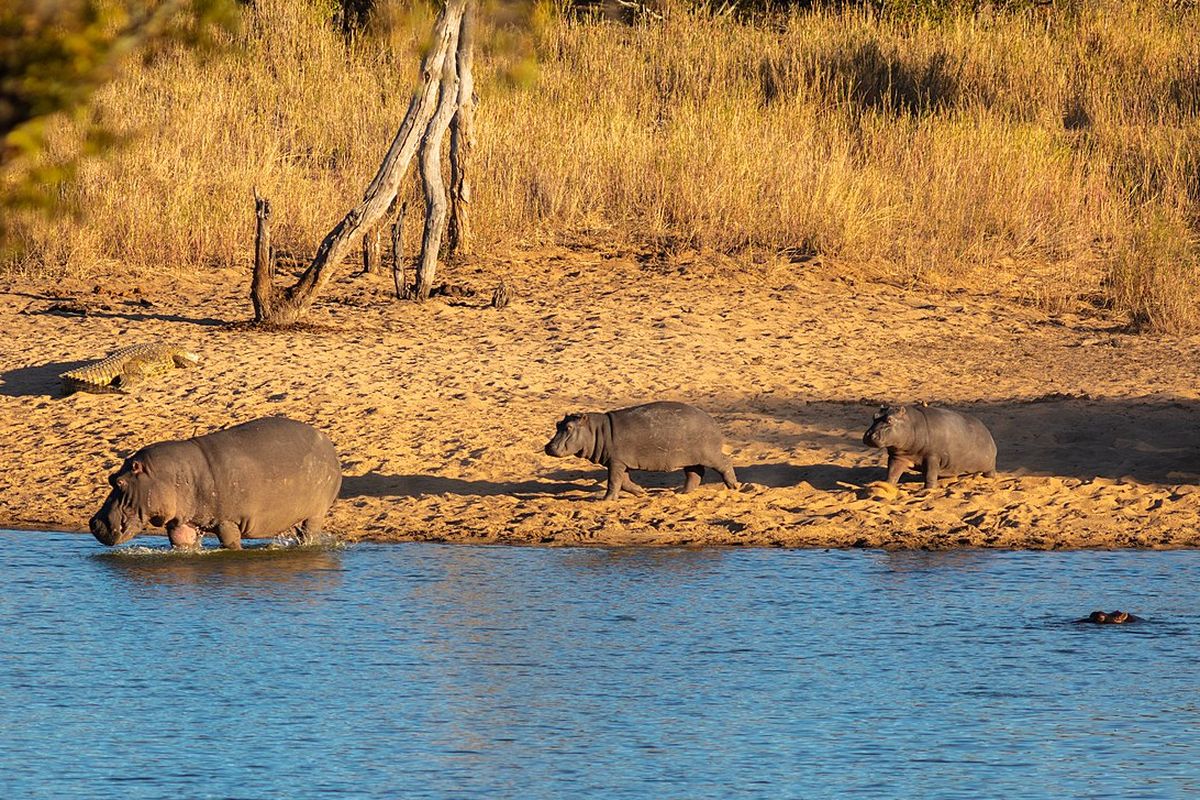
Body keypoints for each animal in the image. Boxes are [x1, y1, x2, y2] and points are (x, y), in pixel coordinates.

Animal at [88, 412, 340, 551]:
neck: (166, 476)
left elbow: (230, 544)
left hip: (315, 514)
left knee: (309, 533)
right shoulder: (182, 524)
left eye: (119, 483)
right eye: (110, 477)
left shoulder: (226, 521)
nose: (94, 523)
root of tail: (329, 444)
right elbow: (183, 542)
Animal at [547, 400, 739, 501]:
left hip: (709, 454)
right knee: (694, 474)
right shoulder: (619, 462)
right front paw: (641, 492)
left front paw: (605, 500)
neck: (595, 430)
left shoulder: (616, 462)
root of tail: (712, 421)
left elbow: (613, 481)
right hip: (691, 458)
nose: (548, 447)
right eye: (558, 424)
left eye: (569, 427)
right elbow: (624, 482)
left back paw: (734, 486)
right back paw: (680, 493)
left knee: (725, 462)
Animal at [859, 407, 998, 489]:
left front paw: (928, 489)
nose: (869, 435)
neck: (912, 424)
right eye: (874, 416)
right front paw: (886, 485)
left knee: (990, 473)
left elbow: (930, 474)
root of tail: (988, 432)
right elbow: (892, 473)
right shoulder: (898, 457)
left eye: (889, 420)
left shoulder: (932, 456)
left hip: (989, 466)